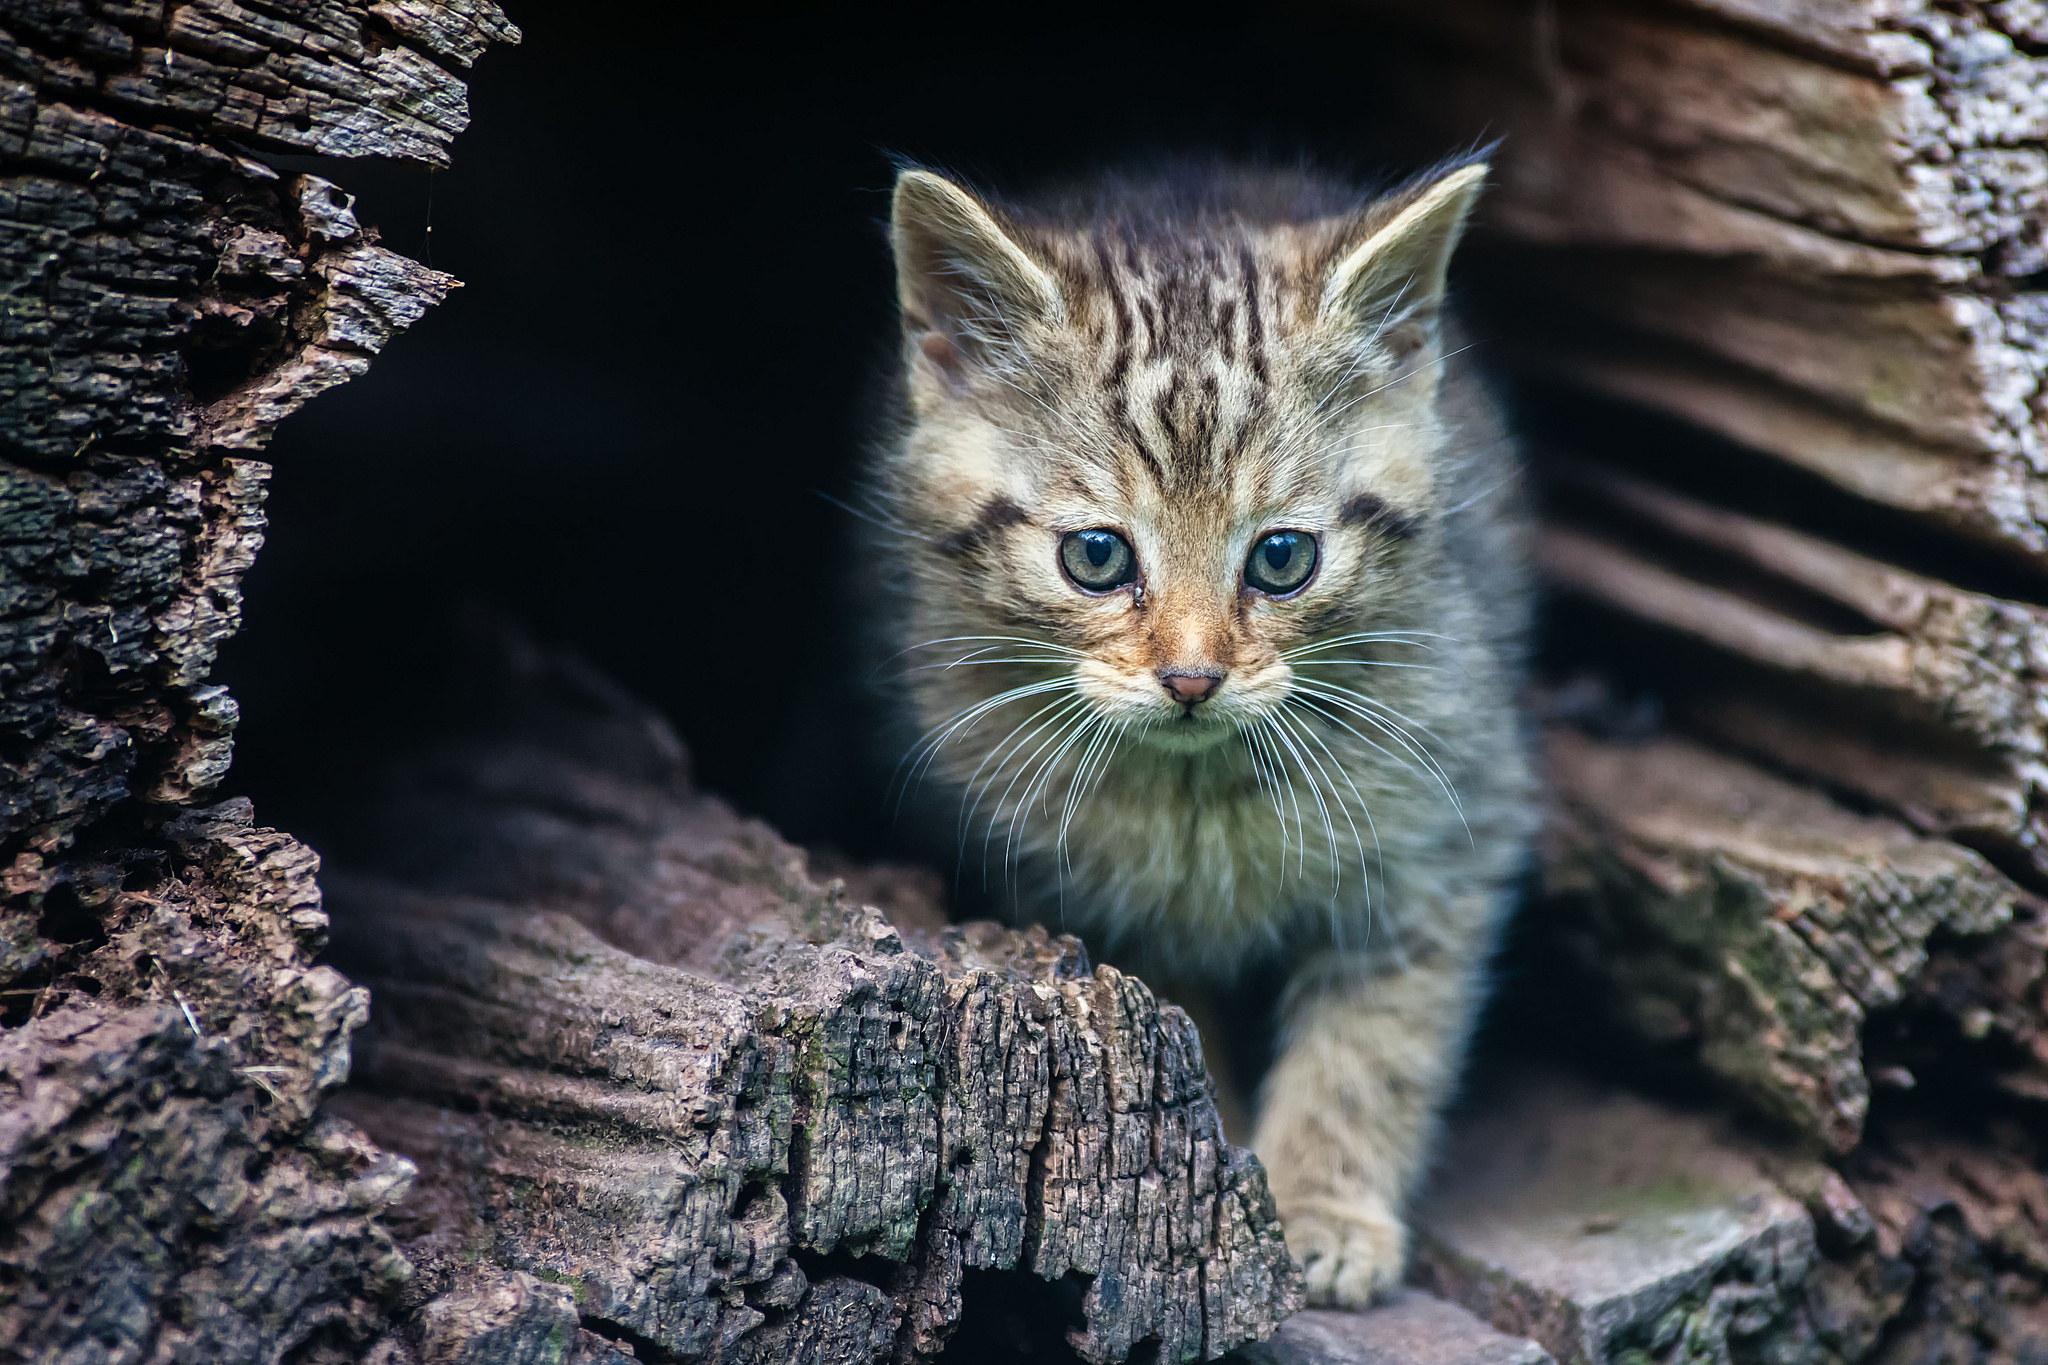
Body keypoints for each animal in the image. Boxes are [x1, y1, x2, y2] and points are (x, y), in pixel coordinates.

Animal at [868, 162, 1540, 1309]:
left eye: (1281, 558)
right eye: (1096, 556)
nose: (1191, 676)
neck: (1201, 790)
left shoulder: (1445, 828)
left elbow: (1377, 1039)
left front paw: (1324, 1208)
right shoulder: (1077, 894)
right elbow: (1168, 1037)